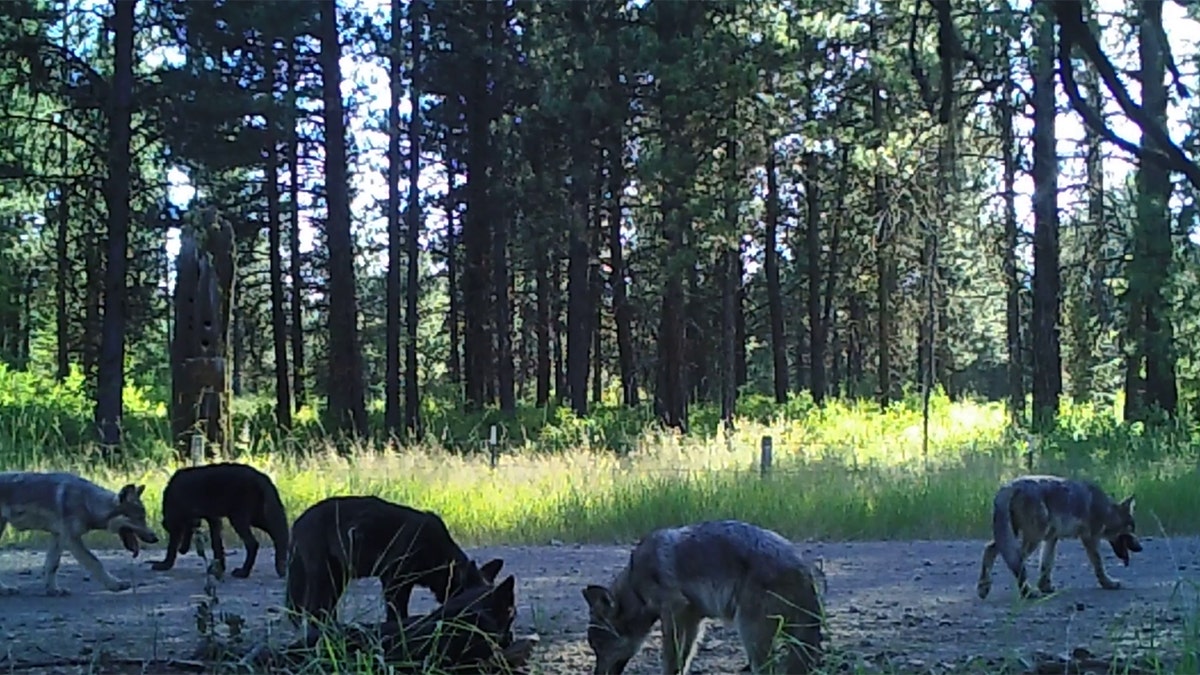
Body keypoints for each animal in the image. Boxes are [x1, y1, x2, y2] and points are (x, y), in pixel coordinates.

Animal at [0, 471, 159, 595]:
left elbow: (52, 566)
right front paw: (114, 584)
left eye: (144, 517)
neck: (88, 502)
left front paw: (53, 590)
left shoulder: (59, 537)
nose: (156, 538)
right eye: (139, 518)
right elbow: (95, 562)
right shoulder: (72, 540)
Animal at [150, 462, 289, 579]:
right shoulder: (212, 518)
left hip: (239, 518)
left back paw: (243, 572)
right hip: (257, 517)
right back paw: (281, 567)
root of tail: (262, 477)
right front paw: (219, 568)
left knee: (253, 543)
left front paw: (164, 564)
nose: (183, 550)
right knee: (279, 535)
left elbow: (172, 546)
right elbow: (217, 545)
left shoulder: (182, 521)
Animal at [284, 495, 505, 625]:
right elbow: (397, 612)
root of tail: (298, 522)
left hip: (338, 577)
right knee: (313, 608)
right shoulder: (394, 582)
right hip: (324, 575)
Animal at [582, 519, 824, 675]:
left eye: (599, 646)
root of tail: (804, 569)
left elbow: (670, 659)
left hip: (751, 634)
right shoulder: (692, 620)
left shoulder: (675, 612)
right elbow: (682, 660)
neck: (635, 586)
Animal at [977, 474, 1143, 600]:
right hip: (1032, 538)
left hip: (1013, 536)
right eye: (1132, 529)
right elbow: (1099, 565)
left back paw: (983, 587)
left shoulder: (1052, 539)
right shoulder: (1090, 538)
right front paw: (1108, 584)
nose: (1141, 548)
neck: (1106, 511)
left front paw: (1045, 587)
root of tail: (1010, 486)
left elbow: (1046, 565)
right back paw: (1027, 593)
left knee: (990, 549)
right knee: (1017, 562)